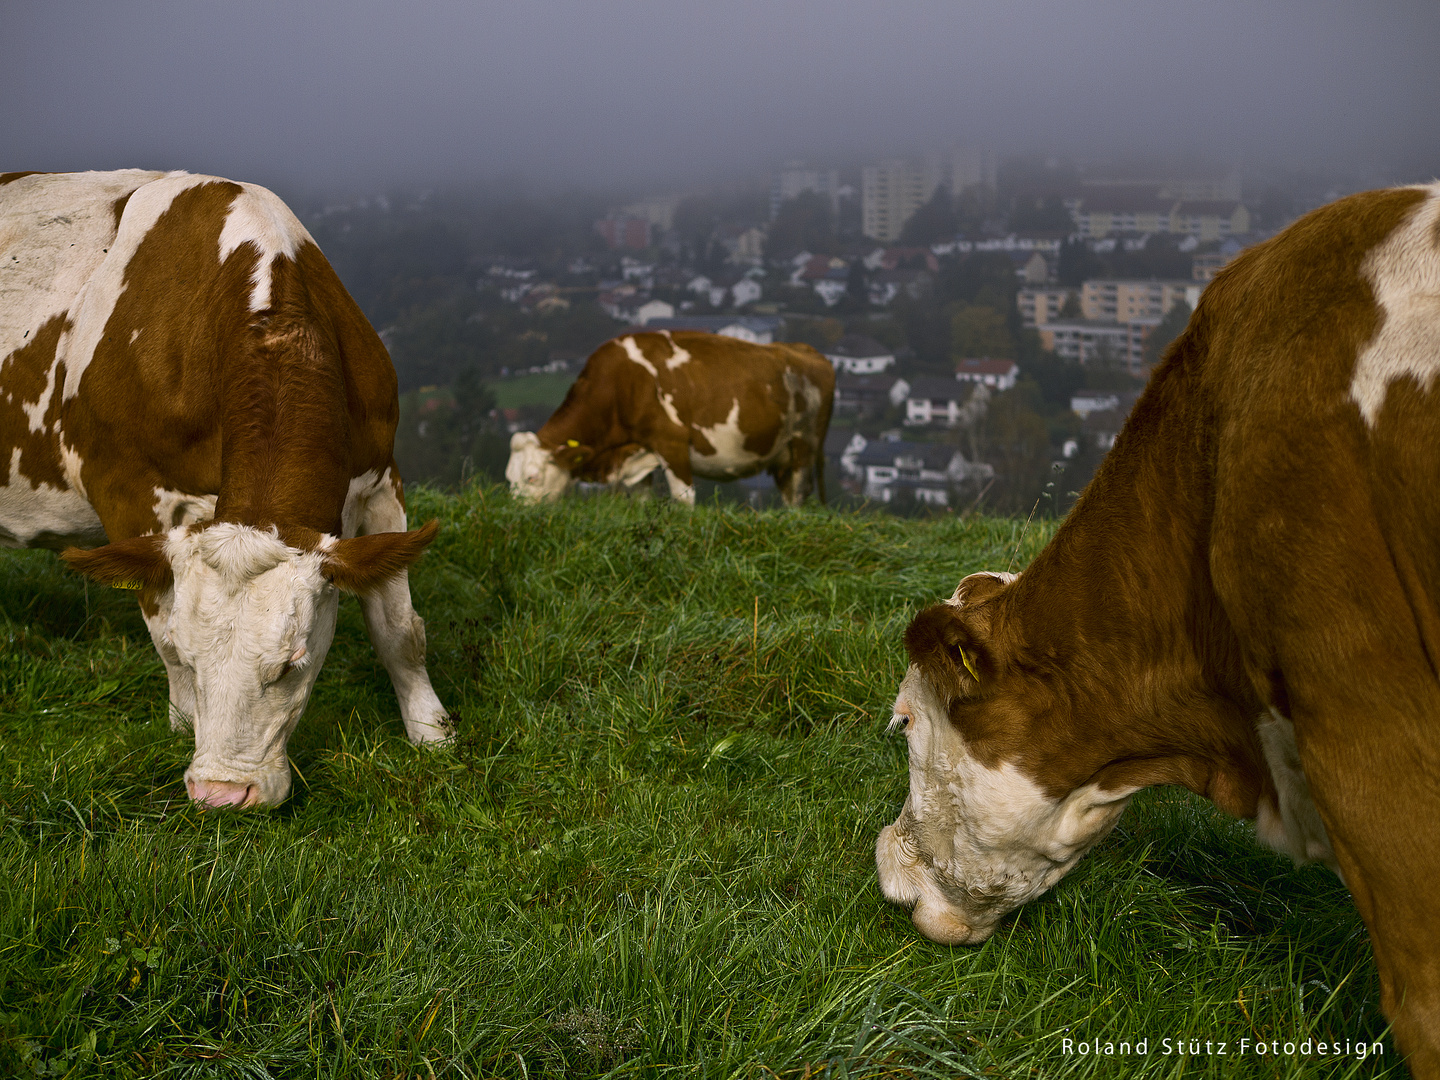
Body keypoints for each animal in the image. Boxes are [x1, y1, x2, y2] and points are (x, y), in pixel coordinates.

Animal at [0, 171, 449, 812]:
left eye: (291, 664)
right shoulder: (129, 494)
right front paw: (183, 729)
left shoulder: (381, 477)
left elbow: (399, 630)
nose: (220, 794)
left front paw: (431, 734)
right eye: (194, 661)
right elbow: (161, 635)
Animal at [506, 334, 835, 506]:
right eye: (509, 478)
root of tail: (806, 350)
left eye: (532, 477)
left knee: (798, 494)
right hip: (782, 456)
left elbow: (683, 498)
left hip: (804, 443)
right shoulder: (639, 453)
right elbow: (641, 500)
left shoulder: (672, 442)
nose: (517, 515)